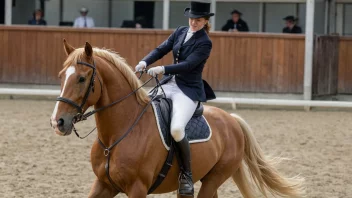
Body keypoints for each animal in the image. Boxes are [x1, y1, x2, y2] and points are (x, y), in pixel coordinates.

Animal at [49, 40, 302, 198]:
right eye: (61, 76)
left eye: (82, 79)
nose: (57, 122)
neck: (117, 135)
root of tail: (231, 120)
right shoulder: (103, 185)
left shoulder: (137, 188)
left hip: (214, 178)